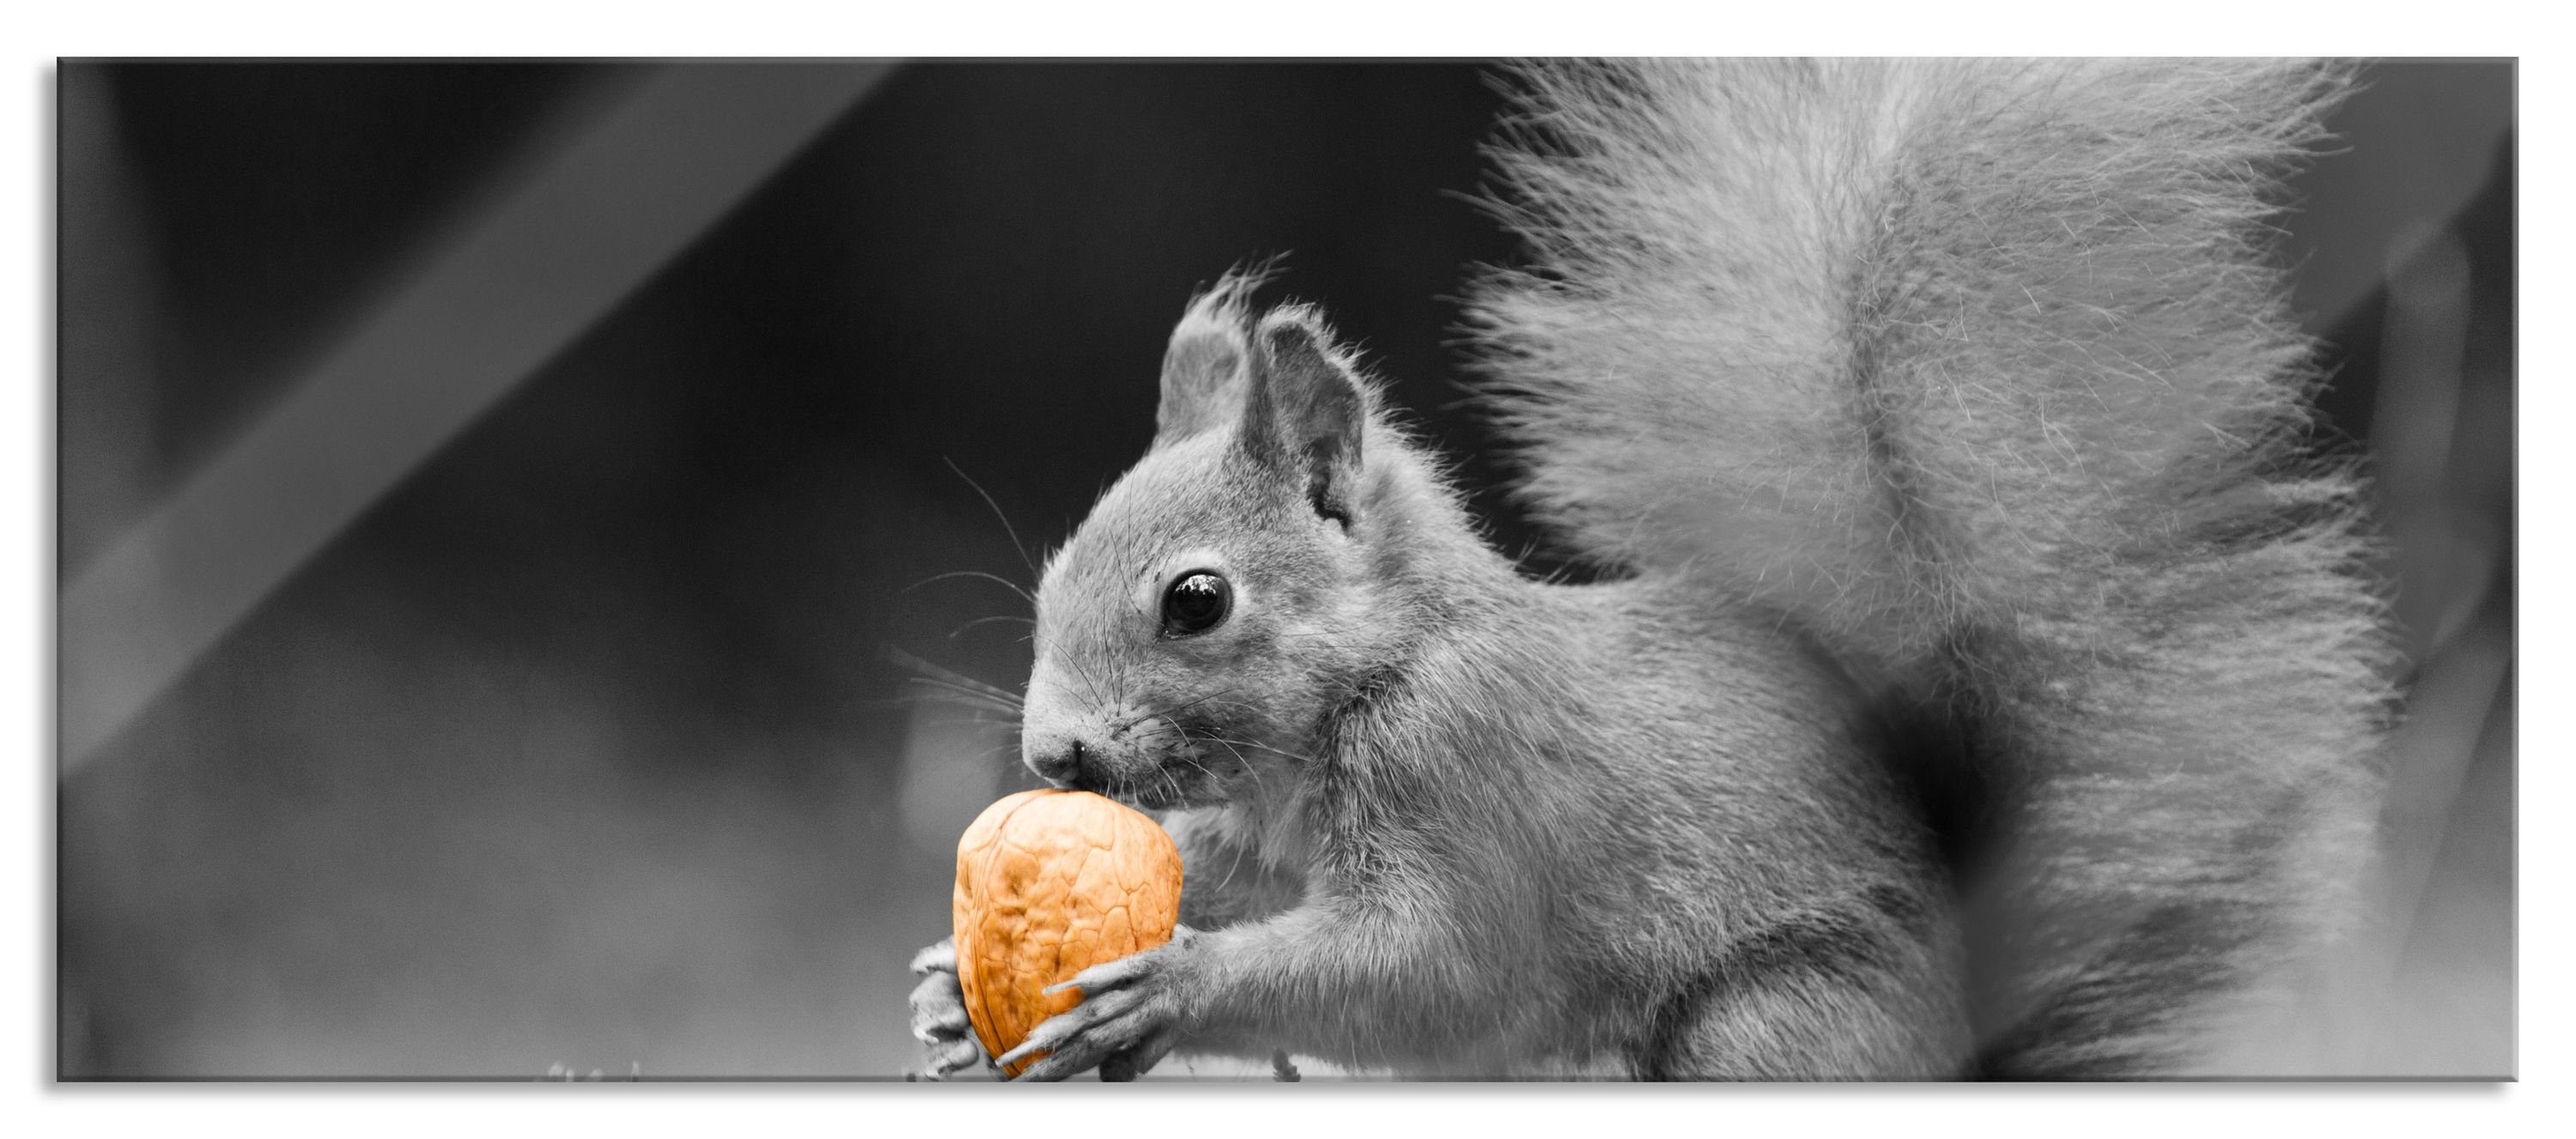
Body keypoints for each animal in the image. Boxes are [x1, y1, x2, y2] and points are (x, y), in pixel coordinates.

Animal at [904, 58, 2395, 1080]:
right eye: (1055, 567)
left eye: (1198, 600)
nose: (1051, 753)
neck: (1387, 666)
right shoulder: (1267, 836)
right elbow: (1231, 878)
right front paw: (948, 989)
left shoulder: (1473, 778)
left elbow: (1434, 966)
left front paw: (1171, 986)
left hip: (1773, 1029)